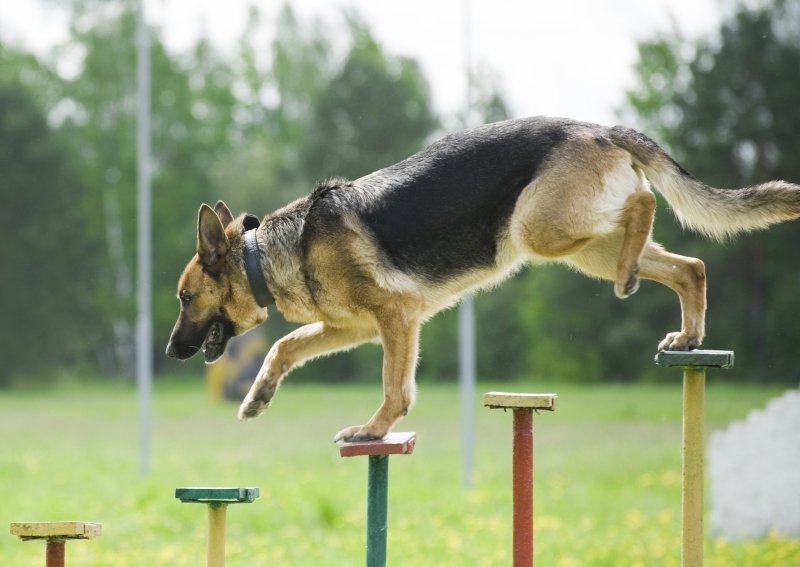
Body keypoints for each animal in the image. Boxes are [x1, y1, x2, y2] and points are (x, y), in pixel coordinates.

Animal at [166, 116, 796, 444]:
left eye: (184, 297)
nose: (171, 352)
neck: (266, 253)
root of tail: (597, 127)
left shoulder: (397, 317)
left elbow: (395, 389)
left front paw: (373, 430)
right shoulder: (355, 327)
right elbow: (285, 346)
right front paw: (257, 397)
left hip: (542, 228)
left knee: (645, 203)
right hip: (583, 247)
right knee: (689, 266)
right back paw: (685, 333)